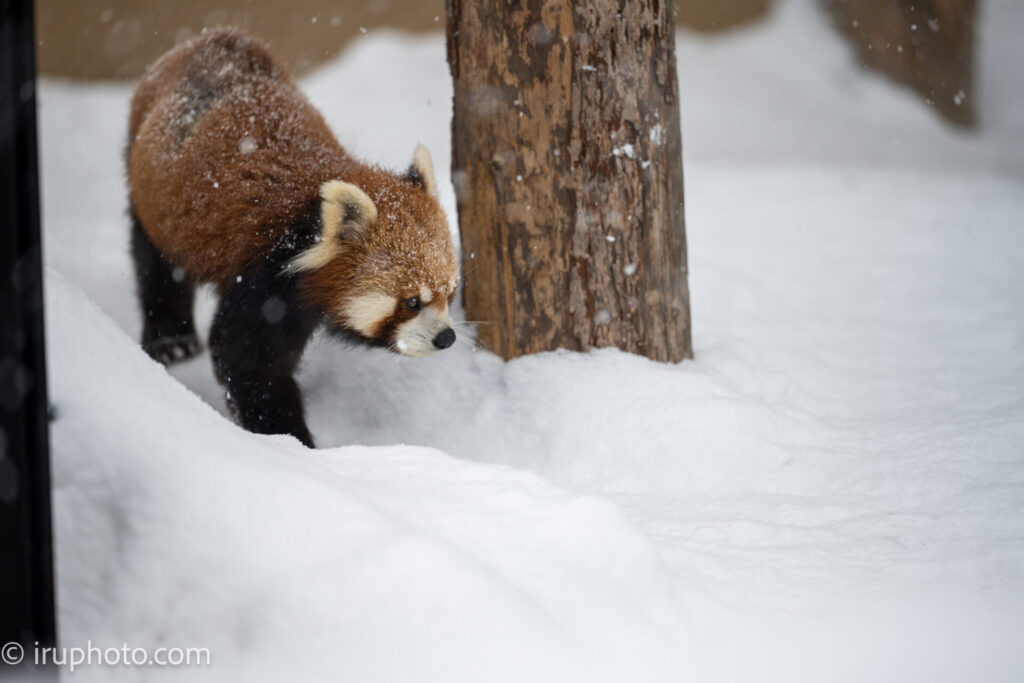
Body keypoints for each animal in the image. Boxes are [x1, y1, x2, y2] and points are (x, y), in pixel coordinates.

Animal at [128, 26, 460, 446]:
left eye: (451, 292)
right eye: (412, 302)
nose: (446, 338)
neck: (305, 234)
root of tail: (210, 39)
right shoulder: (264, 279)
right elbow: (248, 361)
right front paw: (292, 441)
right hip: (147, 189)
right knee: (154, 259)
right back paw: (170, 338)